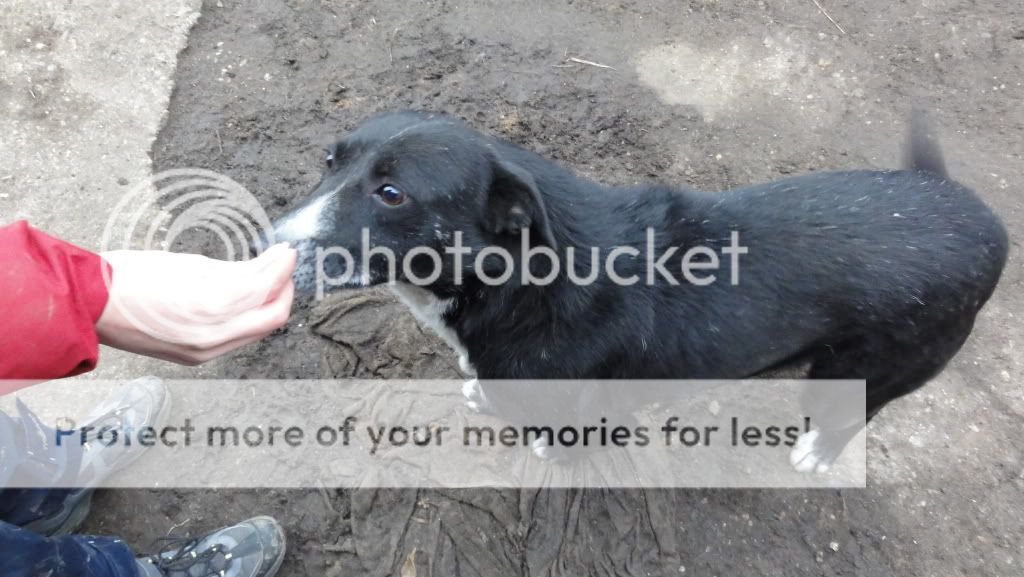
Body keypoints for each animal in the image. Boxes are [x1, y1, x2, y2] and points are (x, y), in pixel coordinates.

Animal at [272, 110, 1007, 471]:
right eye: (328, 161)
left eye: (392, 193)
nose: (267, 244)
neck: (509, 282)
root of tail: (981, 219)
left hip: (868, 367)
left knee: (855, 411)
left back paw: (817, 454)